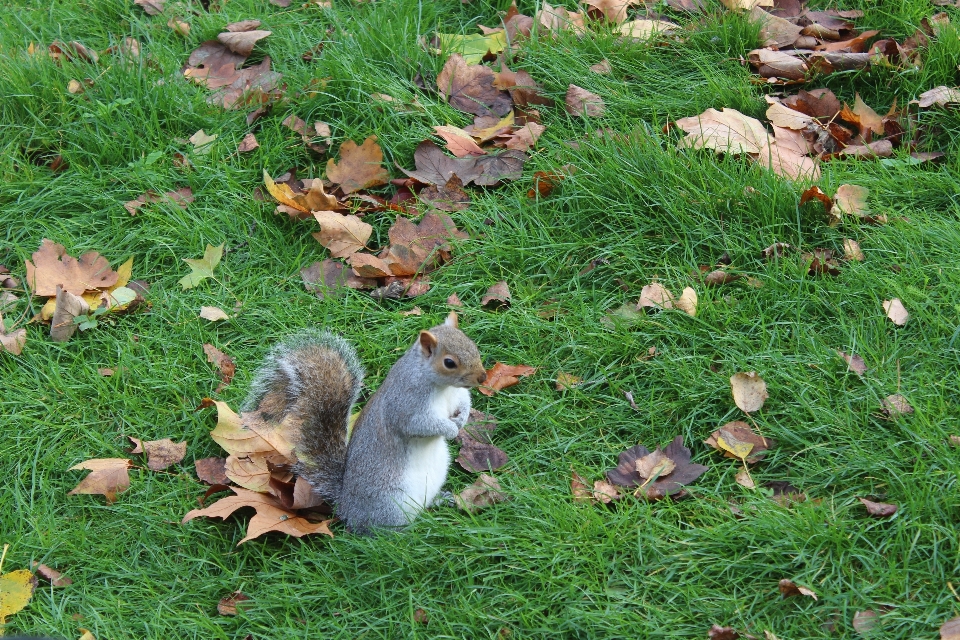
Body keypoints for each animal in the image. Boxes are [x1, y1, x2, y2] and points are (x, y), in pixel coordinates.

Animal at [244, 312, 488, 532]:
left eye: (473, 345)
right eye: (449, 362)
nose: (482, 377)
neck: (443, 387)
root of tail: (346, 508)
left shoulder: (457, 395)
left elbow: (464, 402)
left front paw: (462, 420)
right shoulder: (406, 405)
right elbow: (419, 425)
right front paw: (450, 429)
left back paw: (440, 501)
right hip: (390, 502)